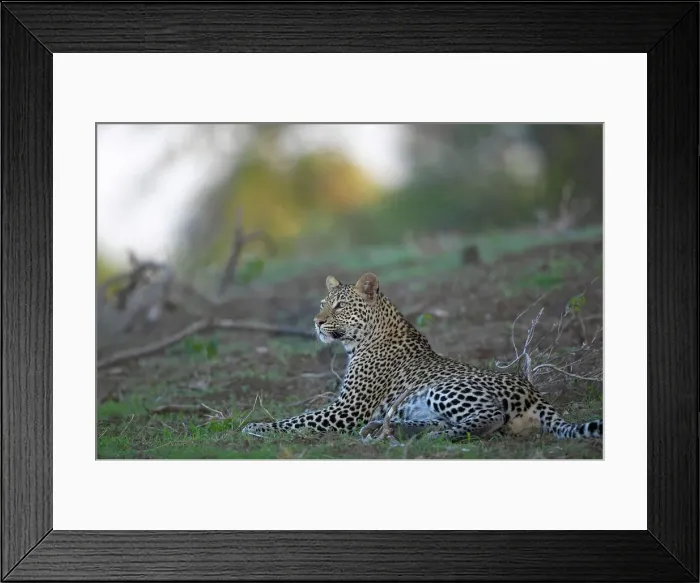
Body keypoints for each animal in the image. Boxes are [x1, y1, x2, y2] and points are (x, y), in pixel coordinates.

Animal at [241, 272, 603, 441]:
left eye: (340, 306)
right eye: (321, 304)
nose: (316, 322)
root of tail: (534, 393)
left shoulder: (348, 408)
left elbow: (297, 419)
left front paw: (255, 426)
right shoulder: (347, 407)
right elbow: (301, 416)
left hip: (445, 389)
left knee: (489, 418)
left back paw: (431, 435)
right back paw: (393, 428)